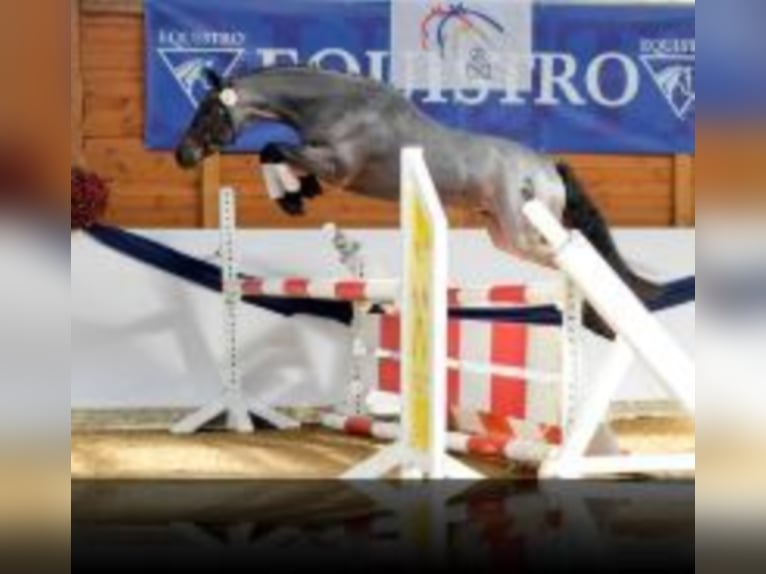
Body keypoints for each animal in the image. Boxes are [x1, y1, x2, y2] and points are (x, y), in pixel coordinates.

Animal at [174, 67, 660, 340]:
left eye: (208, 111)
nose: (183, 156)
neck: (337, 104)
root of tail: (546, 165)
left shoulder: (338, 166)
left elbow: (271, 148)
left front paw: (291, 197)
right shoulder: (320, 160)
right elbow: (274, 155)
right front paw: (295, 195)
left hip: (524, 231)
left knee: (575, 253)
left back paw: (600, 318)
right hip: (503, 233)